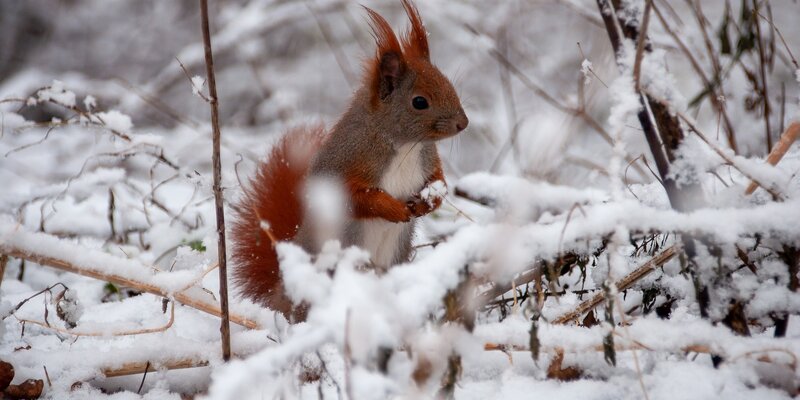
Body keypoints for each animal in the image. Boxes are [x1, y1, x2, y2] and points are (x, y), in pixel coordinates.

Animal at [231, 0, 466, 320]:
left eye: (449, 85)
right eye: (420, 102)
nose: (463, 123)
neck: (404, 145)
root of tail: (282, 294)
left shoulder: (427, 160)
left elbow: (438, 181)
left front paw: (427, 203)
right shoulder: (345, 163)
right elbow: (355, 198)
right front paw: (393, 208)